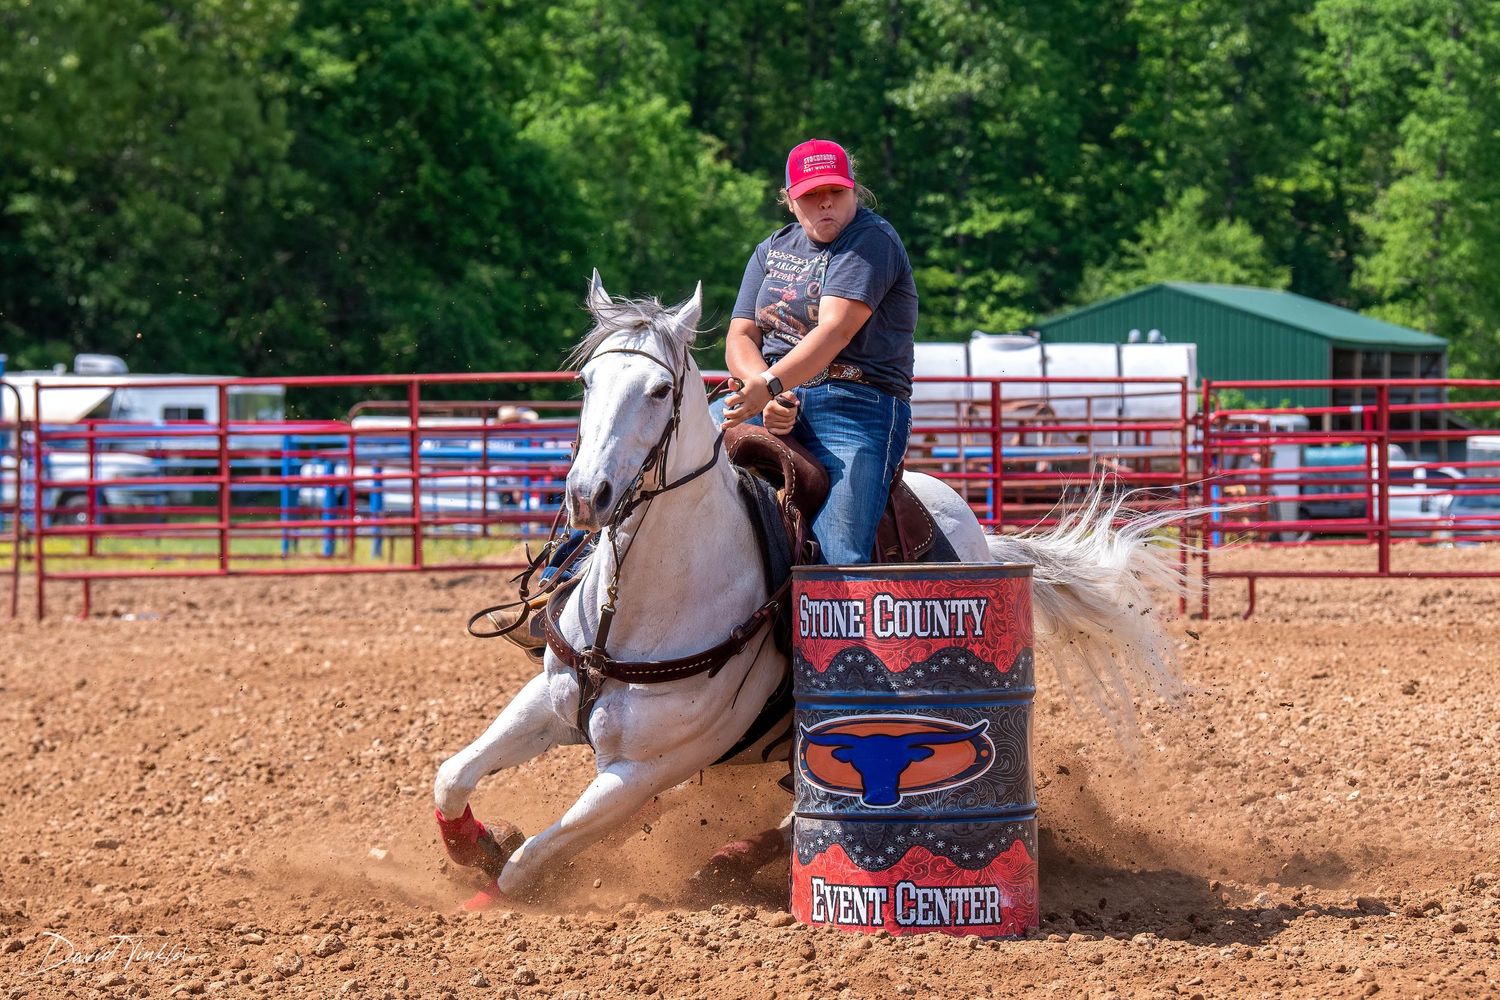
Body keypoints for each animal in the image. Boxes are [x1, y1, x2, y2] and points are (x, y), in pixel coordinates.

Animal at [433, 272, 1198, 911]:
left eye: (658, 391)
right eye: (589, 382)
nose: (588, 496)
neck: (643, 604)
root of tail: (971, 528)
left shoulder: (645, 769)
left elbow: (536, 857)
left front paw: (493, 884)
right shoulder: (551, 700)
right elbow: (452, 774)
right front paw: (474, 845)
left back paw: (731, 859)